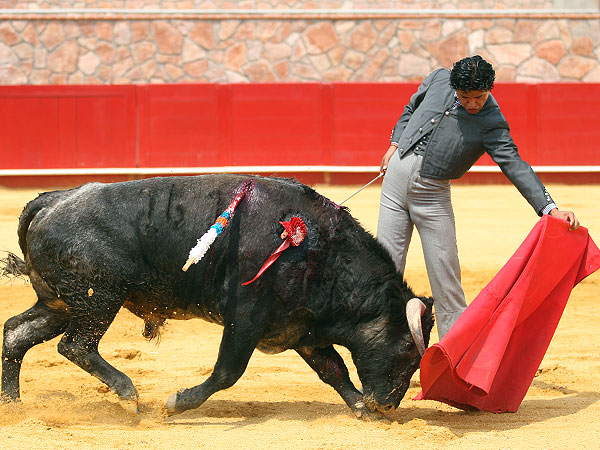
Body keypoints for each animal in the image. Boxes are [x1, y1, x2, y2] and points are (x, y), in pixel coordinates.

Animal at [0, 175, 434, 418]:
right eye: (407, 351)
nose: (387, 406)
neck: (317, 251)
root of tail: (53, 201)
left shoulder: (301, 329)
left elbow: (335, 370)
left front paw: (360, 408)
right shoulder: (245, 318)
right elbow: (228, 372)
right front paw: (175, 403)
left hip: (60, 303)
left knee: (16, 334)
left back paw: (13, 406)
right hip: (99, 299)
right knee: (75, 346)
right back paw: (128, 396)